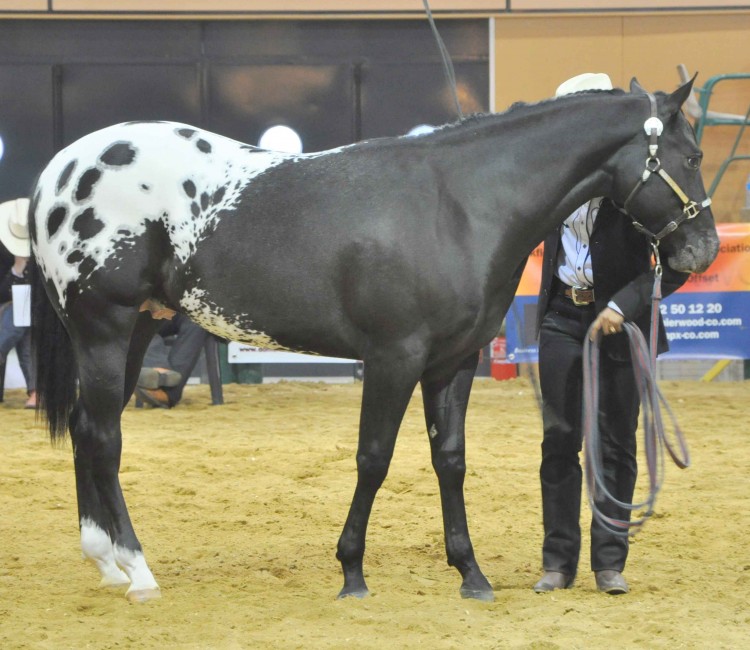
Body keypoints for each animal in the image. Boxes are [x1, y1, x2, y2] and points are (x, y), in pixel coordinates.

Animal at [29, 78, 720, 600]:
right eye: (690, 158)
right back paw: (138, 570)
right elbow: (374, 458)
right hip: (105, 328)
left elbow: (450, 461)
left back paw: (107, 561)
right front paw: (352, 572)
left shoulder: (453, 363)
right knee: (104, 439)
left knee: (90, 431)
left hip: (137, 330)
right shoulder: (394, 358)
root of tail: (59, 172)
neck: (459, 204)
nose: (704, 250)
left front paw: (470, 574)